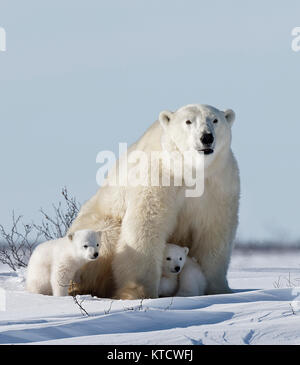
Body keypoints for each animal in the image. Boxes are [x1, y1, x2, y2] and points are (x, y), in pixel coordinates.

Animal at [69, 103, 240, 298]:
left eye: (215, 120)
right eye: (188, 121)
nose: (206, 137)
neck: (189, 170)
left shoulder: (218, 184)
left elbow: (215, 230)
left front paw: (218, 290)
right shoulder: (158, 176)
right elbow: (147, 224)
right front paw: (138, 292)